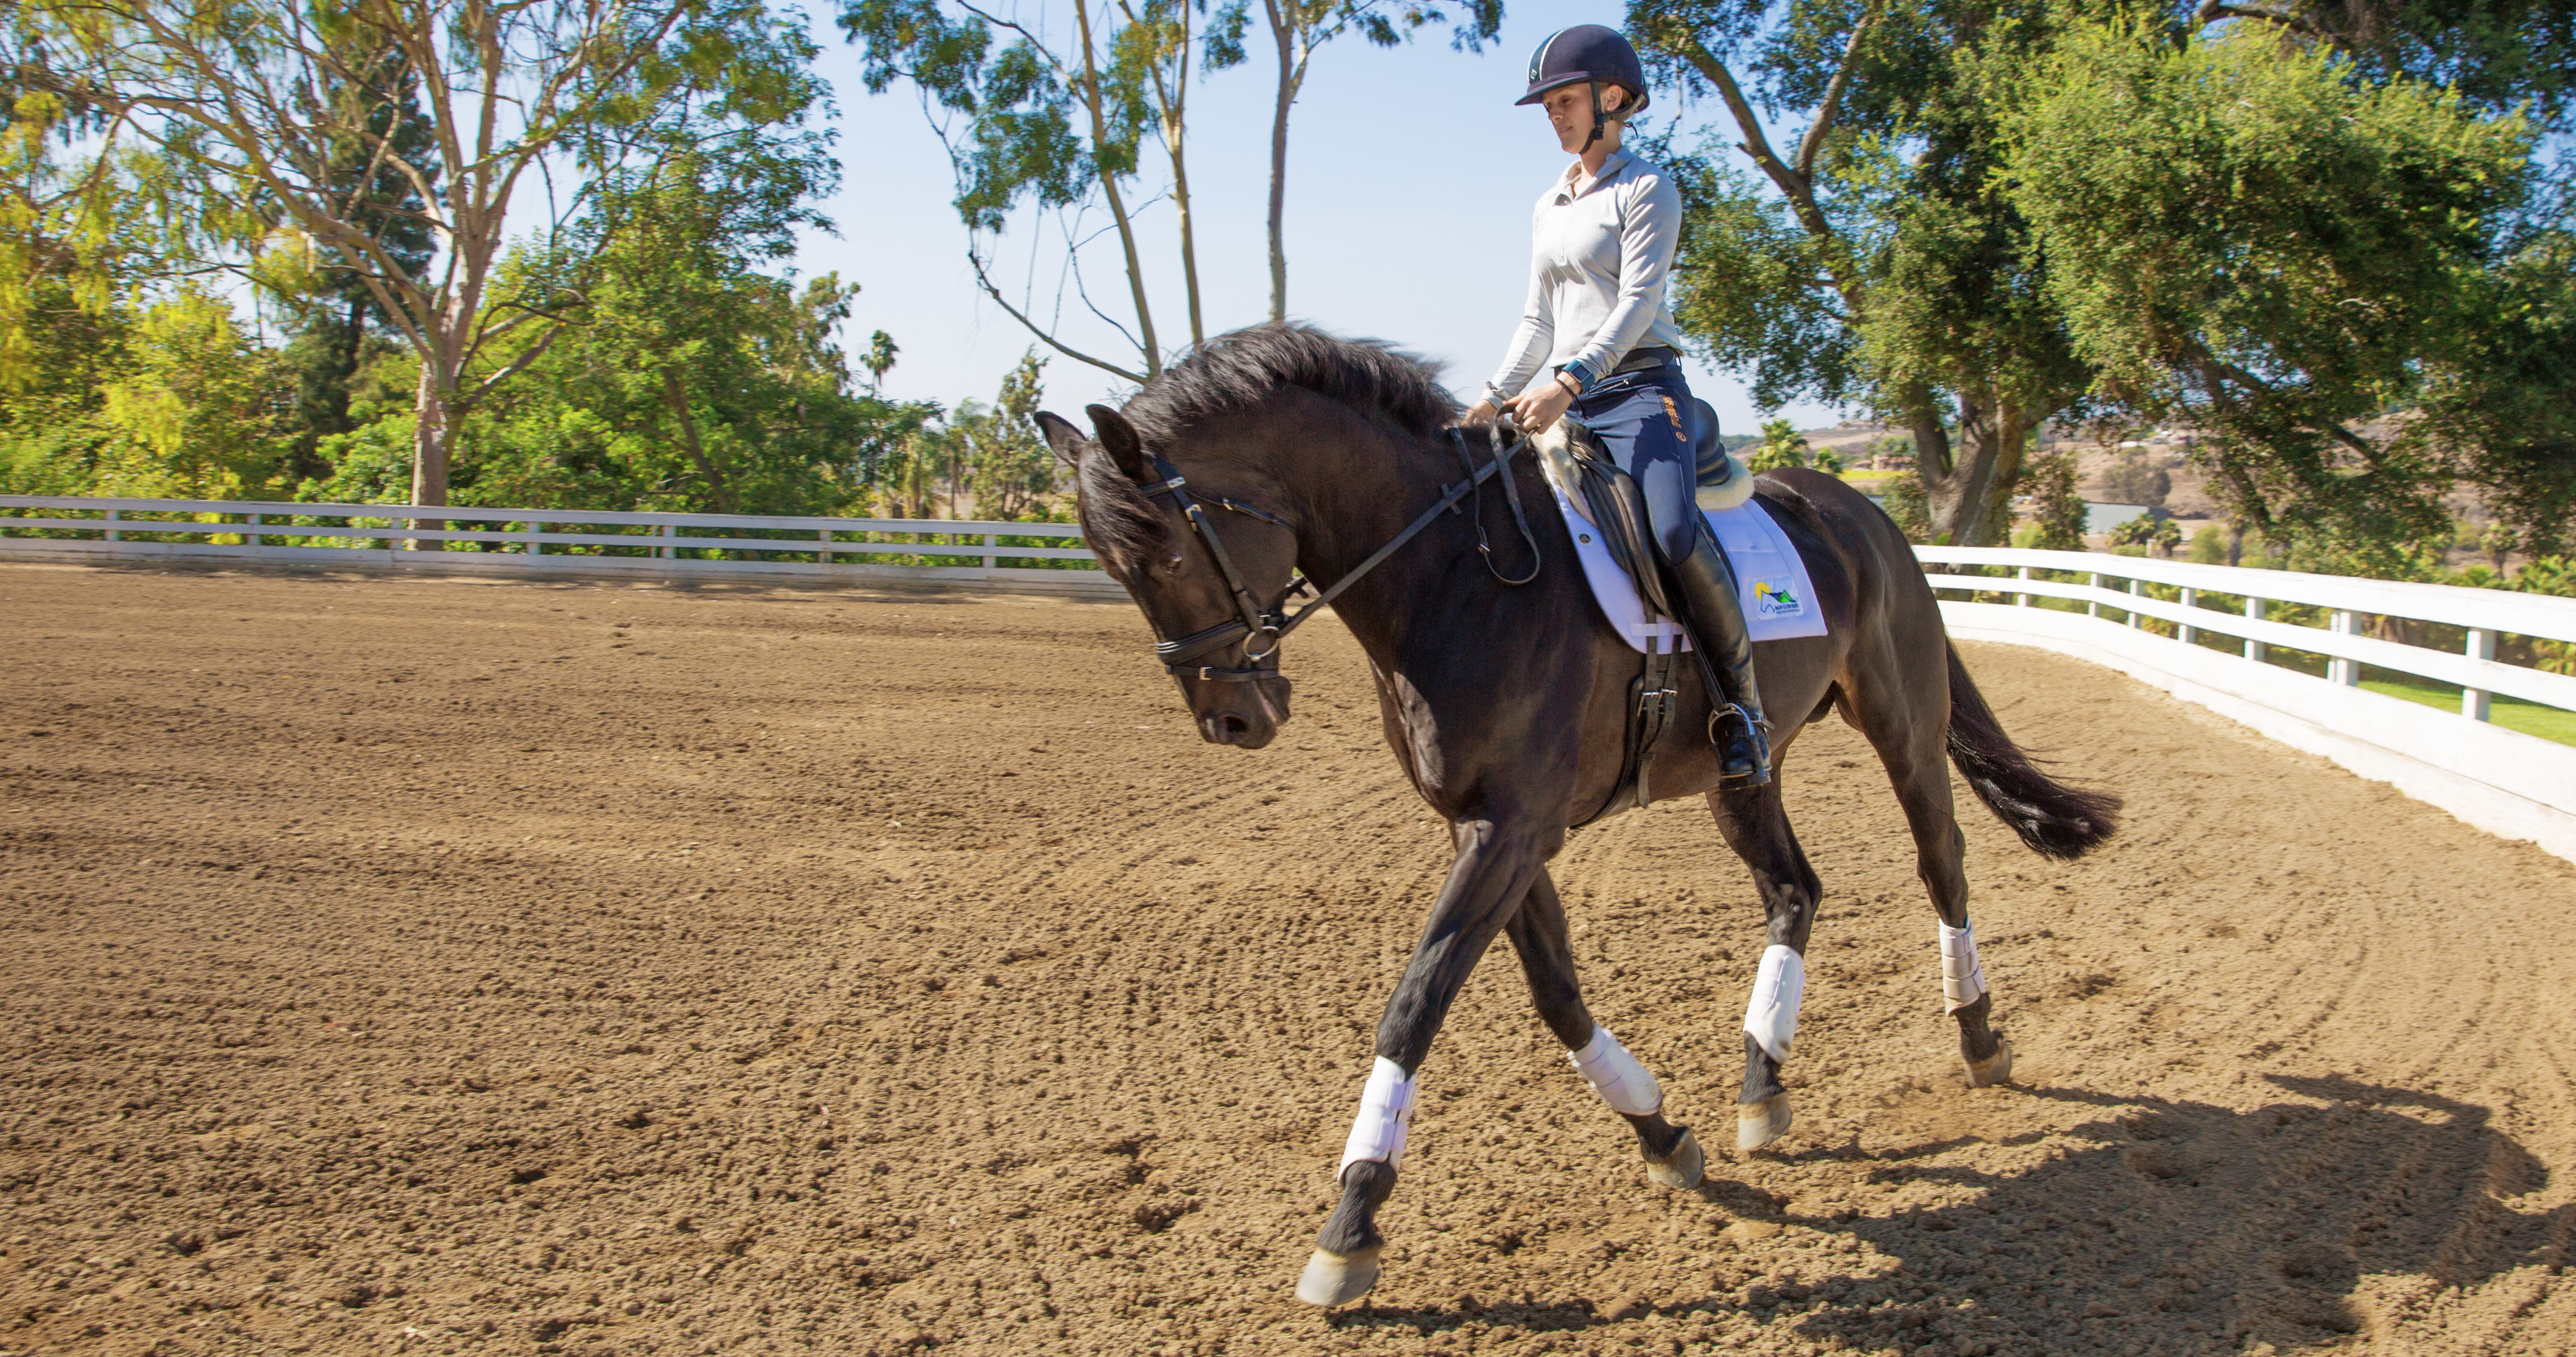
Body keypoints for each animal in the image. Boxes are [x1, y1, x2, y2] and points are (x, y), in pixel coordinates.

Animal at [1025, 324, 2112, 1313]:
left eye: (1166, 548)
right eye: (1111, 566)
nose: (1231, 720)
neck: (1451, 572)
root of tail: (1861, 510)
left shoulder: (1510, 829)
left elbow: (1414, 1002)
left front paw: (1349, 1223)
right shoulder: (1488, 828)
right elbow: (1553, 990)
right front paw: (1663, 1135)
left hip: (1902, 724)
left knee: (1942, 861)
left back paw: (1977, 1037)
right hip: (1740, 772)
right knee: (1793, 889)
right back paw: (1761, 1085)